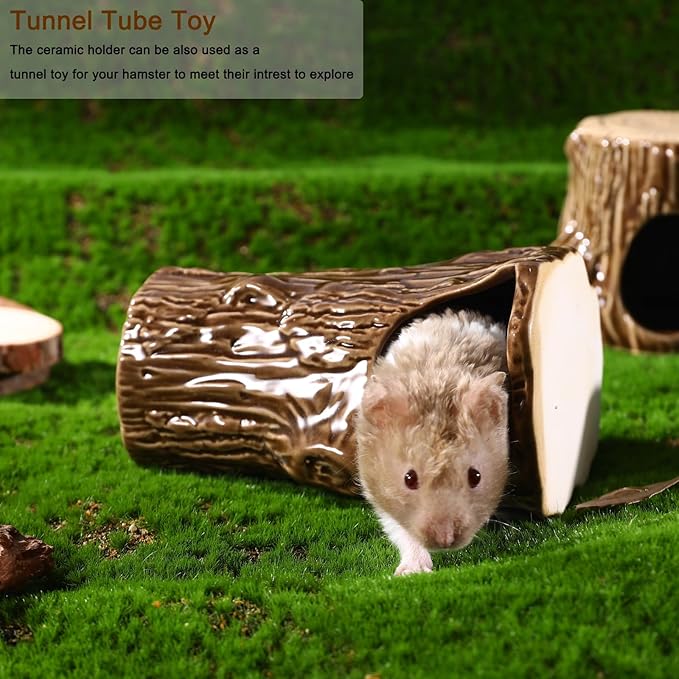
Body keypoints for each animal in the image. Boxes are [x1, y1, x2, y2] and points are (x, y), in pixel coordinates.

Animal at [355, 309, 509, 575]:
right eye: (409, 478)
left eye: (476, 476)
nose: (445, 541)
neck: (437, 379)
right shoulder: (377, 491)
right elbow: (401, 530)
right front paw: (410, 572)